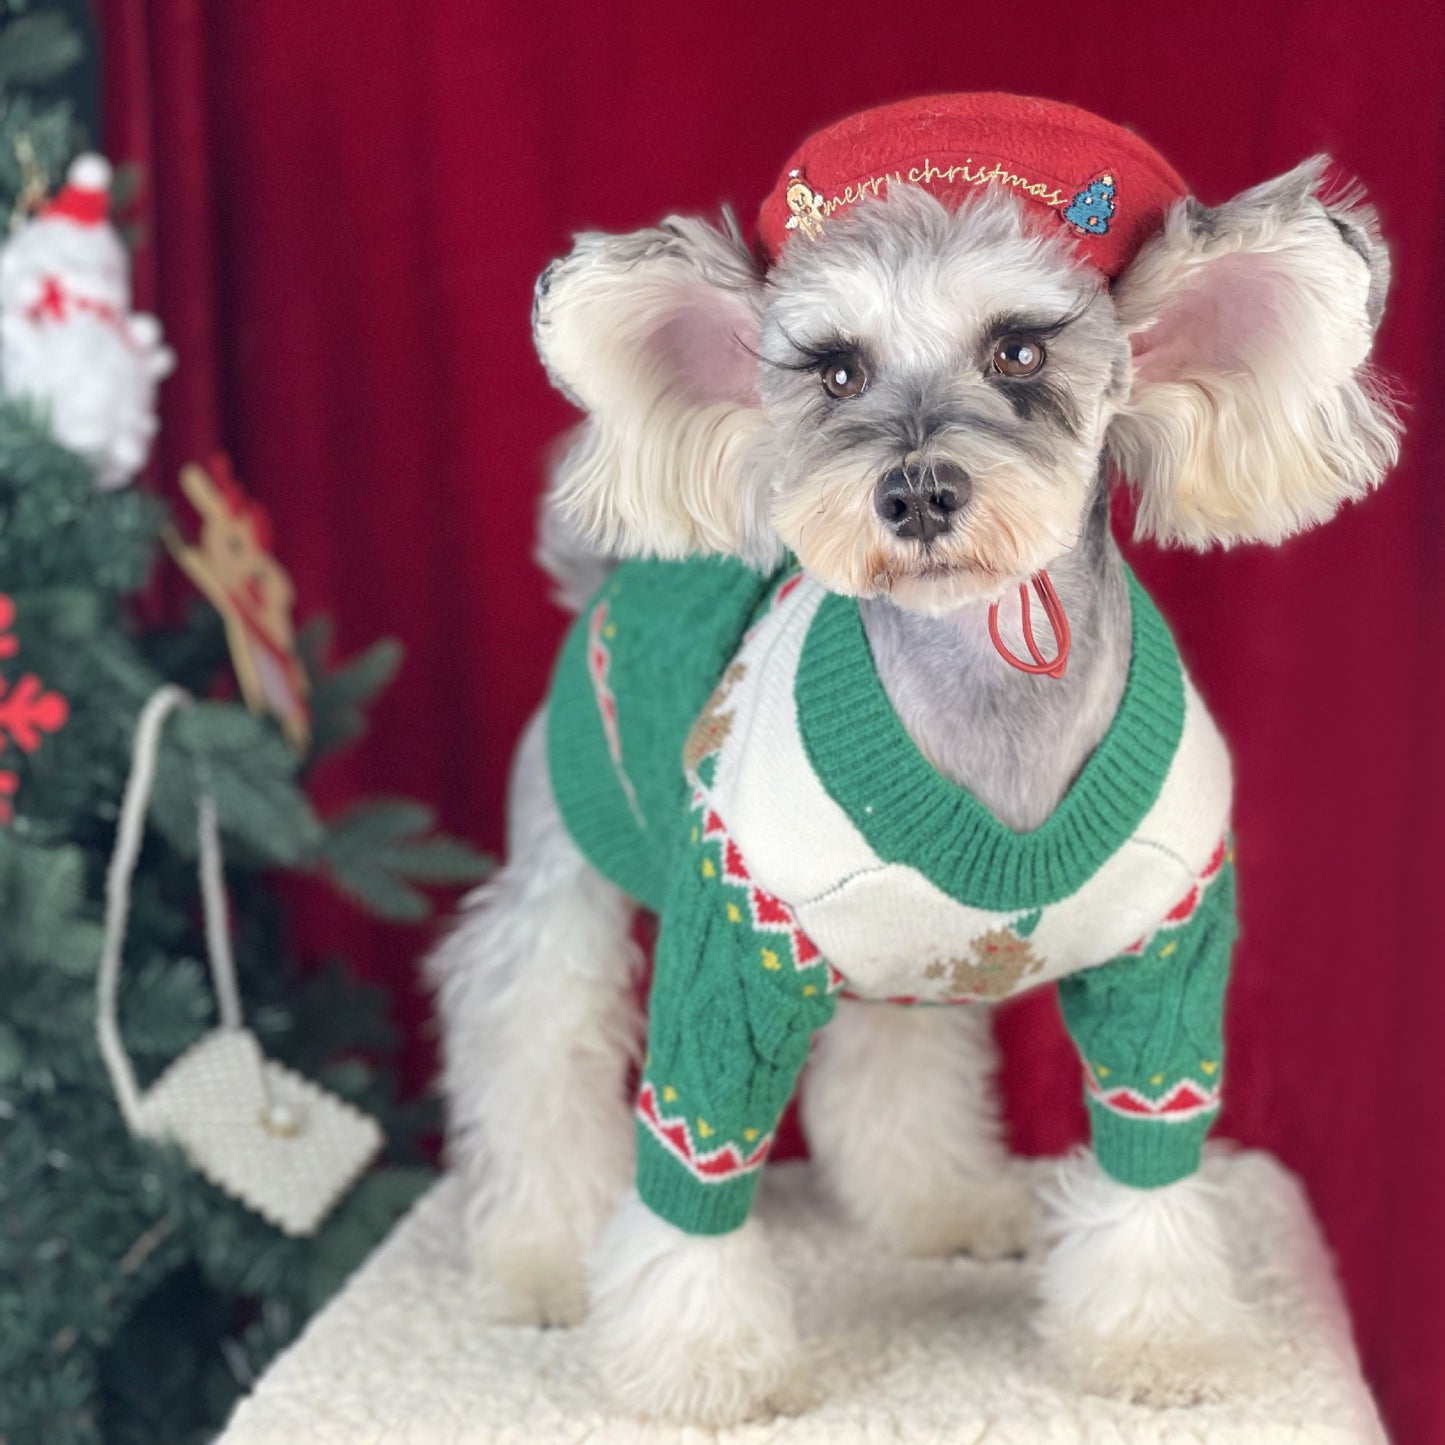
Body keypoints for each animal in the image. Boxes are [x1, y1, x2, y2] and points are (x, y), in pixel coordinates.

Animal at [427, 93, 1398, 1421]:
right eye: (836, 368)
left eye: (1019, 352)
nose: (917, 489)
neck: (989, 697)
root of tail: (612, 568)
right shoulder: (730, 946)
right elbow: (691, 1163)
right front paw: (700, 1361)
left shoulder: (1167, 951)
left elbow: (1148, 1152)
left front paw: (1156, 1334)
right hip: (560, 870)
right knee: (530, 1039)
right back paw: (535, 1258)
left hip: (893, 953)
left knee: (891, 1058)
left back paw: (937, 1204)